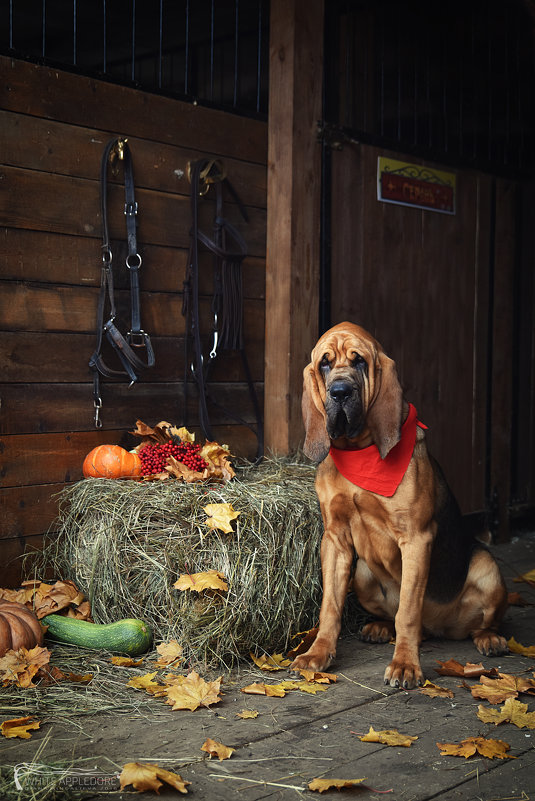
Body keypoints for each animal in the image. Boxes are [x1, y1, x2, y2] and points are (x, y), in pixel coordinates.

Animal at [292, 322, 508, 684]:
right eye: (324, 363)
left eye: (359, 361)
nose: (340, 392)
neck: (359, 452)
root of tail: (436, 628)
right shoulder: (335, 539)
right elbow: (330, 608)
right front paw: (318, 653)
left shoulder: (416, 539)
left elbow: (408, 610)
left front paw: (406, 664)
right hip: (362, 574)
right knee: (388, 613)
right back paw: (379, 628)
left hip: (488, 570)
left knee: (478, 622)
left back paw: (490, 639)